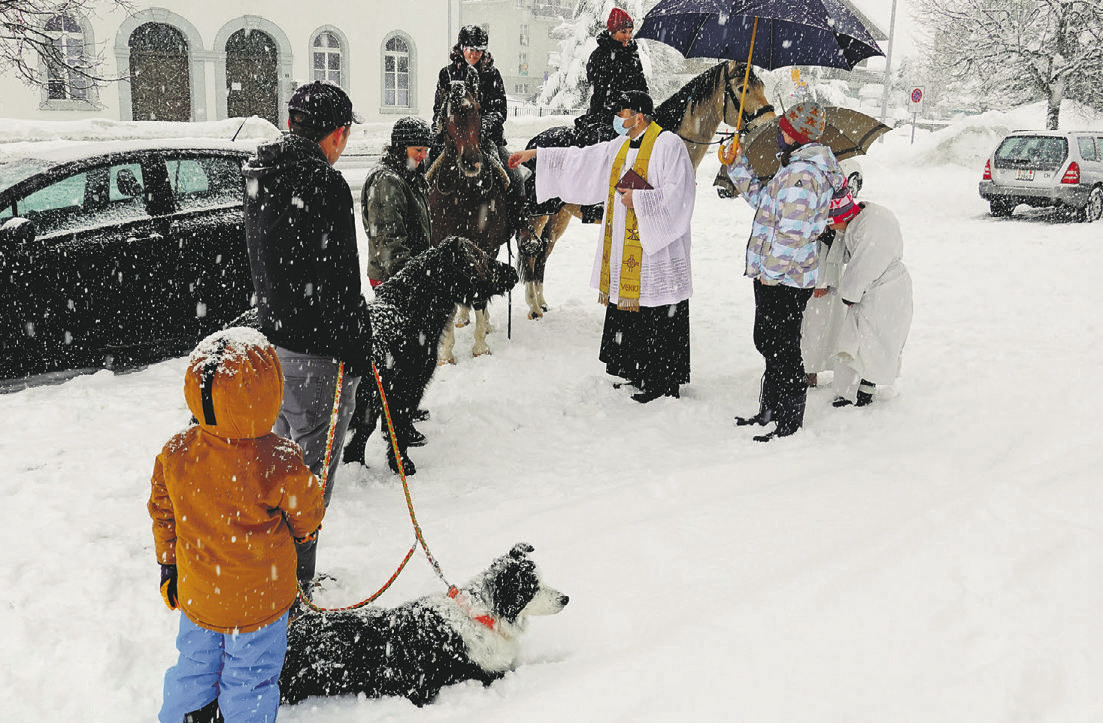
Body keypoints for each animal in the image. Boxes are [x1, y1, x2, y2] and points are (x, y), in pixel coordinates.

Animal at [344, 237, 516, 474]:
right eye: (478, 259)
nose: (513, 272)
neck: (408, 313)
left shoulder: (380, 398)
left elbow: (364, 434)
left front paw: (356, 464)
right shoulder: (405, 389)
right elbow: (396, 430)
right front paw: (403, 465)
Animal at [425, 65, 525, 364]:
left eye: (478, 109)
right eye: (448, 114)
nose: (471, 161)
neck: (463, 193)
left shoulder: (486, 246)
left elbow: (481, 290)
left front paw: (480, 347)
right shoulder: (444, 243)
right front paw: (446, 353)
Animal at [516, 60, 776, 320]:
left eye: (762, 86)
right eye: (743, 88)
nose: (768, 120)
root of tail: (534, 142)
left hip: (559, 216)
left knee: (542, 254)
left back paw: (542, 302)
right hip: (538, 214)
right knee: (529, 252)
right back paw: (533, 307)